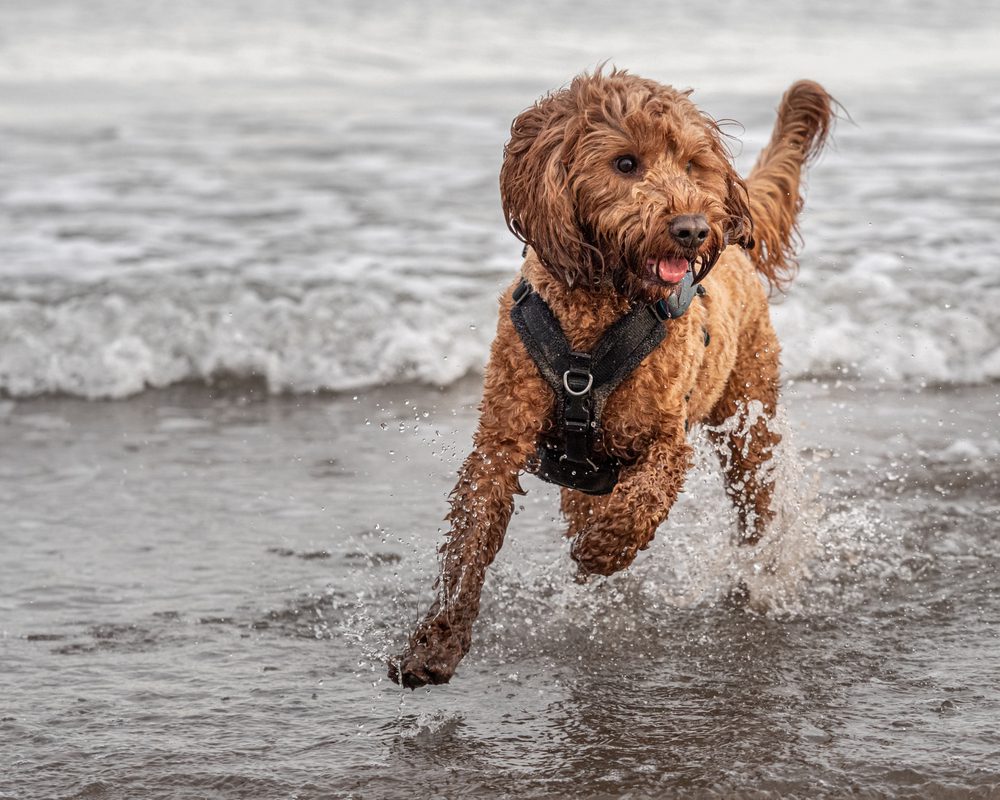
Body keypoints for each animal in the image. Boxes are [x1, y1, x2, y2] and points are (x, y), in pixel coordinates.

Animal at [390, 70, 836, 688]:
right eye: (626, 164)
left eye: (692, 163)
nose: (693, 230)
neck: (597, 311)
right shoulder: (501, 439)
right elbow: (468, 541)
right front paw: (434, 645)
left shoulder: (665, 441)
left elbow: (640, 502)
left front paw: (603, 551)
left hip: (749, 419)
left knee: (755, 502)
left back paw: (755, 577)